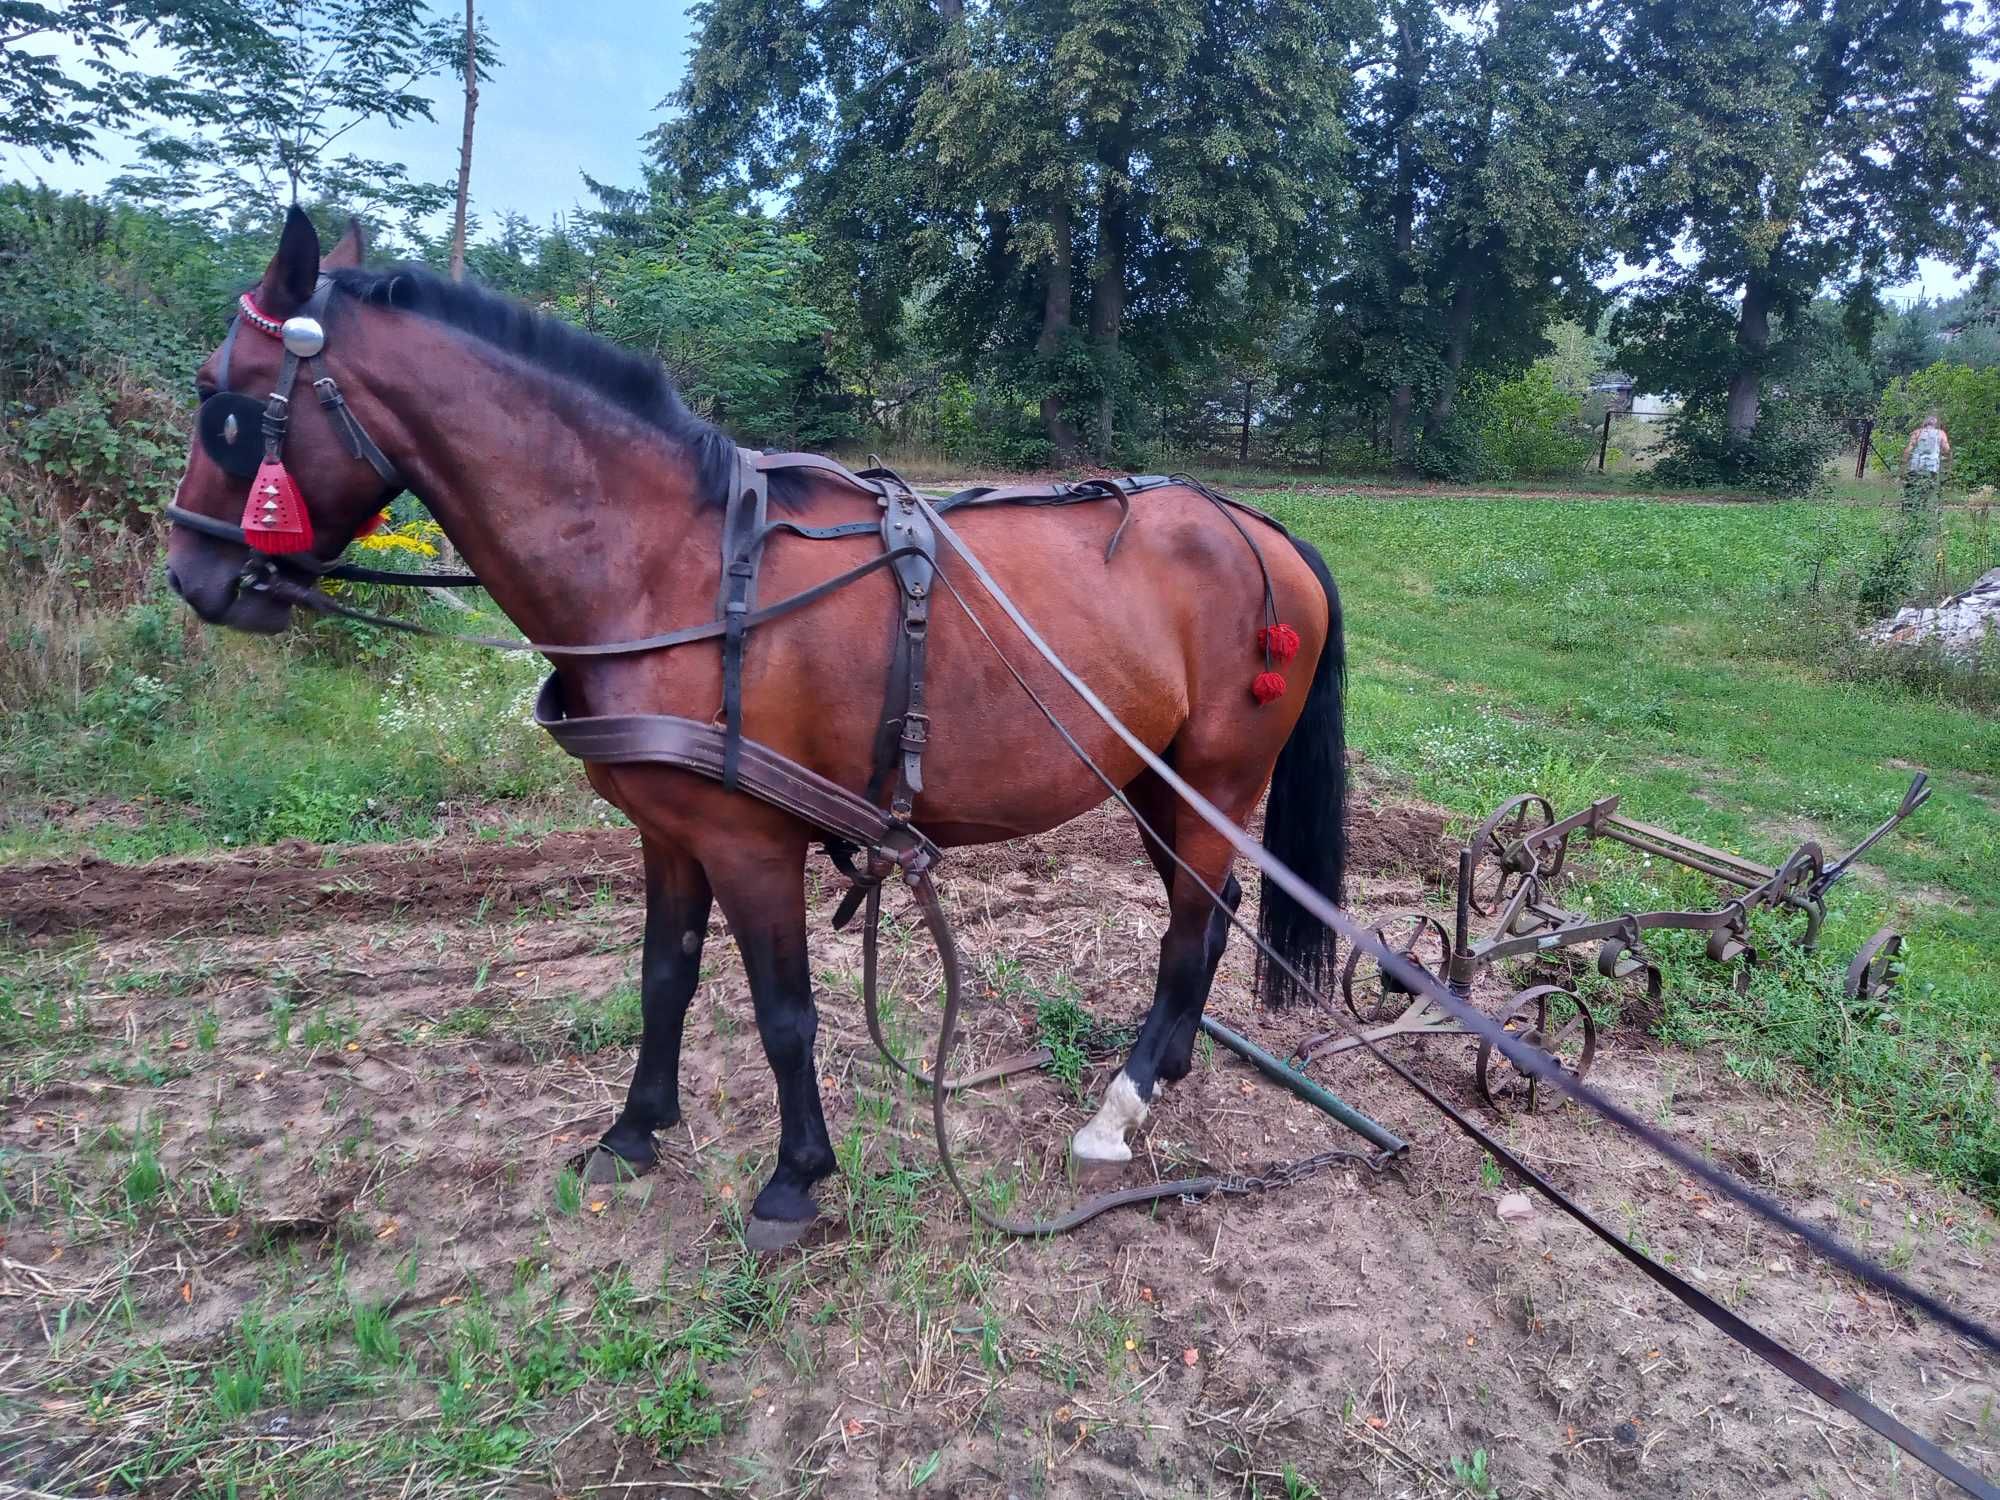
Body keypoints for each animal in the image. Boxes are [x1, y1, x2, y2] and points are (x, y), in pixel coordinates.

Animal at [168, 209, 1344, 1248]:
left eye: (219, 398)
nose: (191, 573)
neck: (671, 566)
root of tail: (1259, 527)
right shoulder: (667, 833)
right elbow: (665, 978)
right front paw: (634, 1133)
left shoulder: (749, 842)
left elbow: (785, 1014)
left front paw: (794, 1180)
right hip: (1155, 781)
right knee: (1206, 916)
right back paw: (1168, 1066)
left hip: (1216, 776)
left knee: (1188, 927)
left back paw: (1123, 1104)